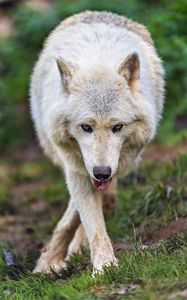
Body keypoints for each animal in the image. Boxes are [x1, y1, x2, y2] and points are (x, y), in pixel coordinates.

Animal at [29, 11, 164, 274]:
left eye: (117, 127)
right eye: (86, 127)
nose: (102, 172)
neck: (98, 62)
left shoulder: (115, 164)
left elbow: (84, 217)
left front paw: (100, 264)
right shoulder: (76, 167)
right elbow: (91, 222)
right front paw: (101, 265)